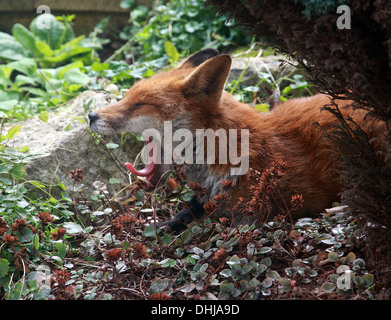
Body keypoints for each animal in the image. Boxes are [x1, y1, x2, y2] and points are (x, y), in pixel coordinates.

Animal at [88, 48, 386, 232]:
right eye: (127, 96)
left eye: (141, 104)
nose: (91, 115)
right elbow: (192, 210)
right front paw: (168, 224)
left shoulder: (274, 207)